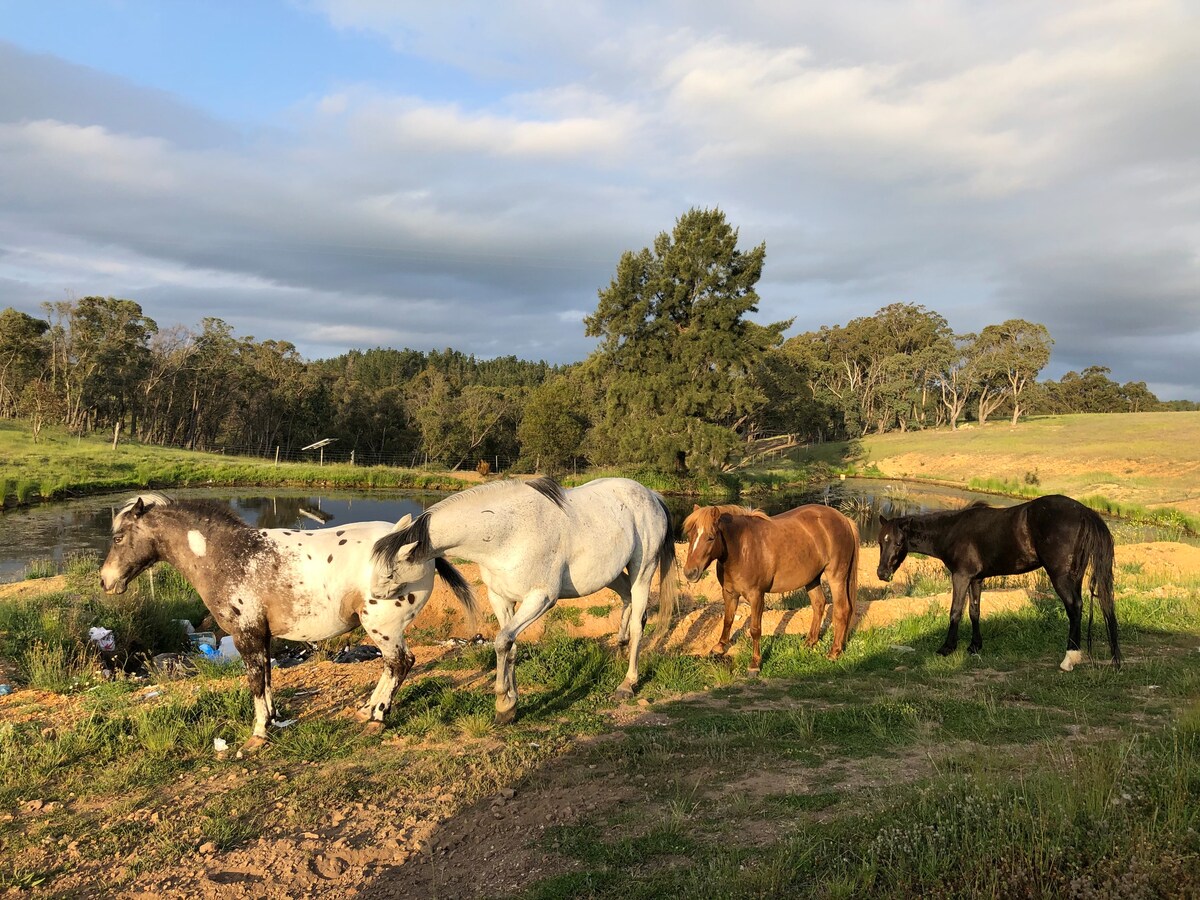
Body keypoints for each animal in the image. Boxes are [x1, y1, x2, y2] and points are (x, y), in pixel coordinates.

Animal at [98, 494, 475, 748]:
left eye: (118, 538)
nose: (105, 581)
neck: (229, 556)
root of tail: (421, 547)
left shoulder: (246, 635)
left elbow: (255, 682)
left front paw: (258, 734)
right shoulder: (262, 637)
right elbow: (266, 678)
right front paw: (273, 719)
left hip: (383, 628)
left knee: (400, 663)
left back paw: (378, 717)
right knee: (393, 666)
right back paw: (367, 710)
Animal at [369, 480, 681, 724]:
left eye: (389, 571)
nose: (373, 596)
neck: (507, 533)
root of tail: (652, 494)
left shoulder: (540, 599)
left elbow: (501, 642)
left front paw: (502, 702)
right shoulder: (501, 599)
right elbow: (510, 645)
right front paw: (510, 705)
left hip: (643, 570)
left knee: (640, 621)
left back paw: (628, 683)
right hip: (611, 575)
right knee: (627, 600)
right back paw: (620, 646)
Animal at [681, 504, 859, 672]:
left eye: (710, 538)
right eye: (690, 535)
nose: (690, 573)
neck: (741, 549)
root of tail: (844, 519)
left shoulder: (756, 596)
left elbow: (755, 629)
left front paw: (755, 663)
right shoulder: (729, 593)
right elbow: (728, 620)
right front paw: (719, 646)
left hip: (836, 577)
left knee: (841, 610)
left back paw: (834, 652)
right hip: (812, 578)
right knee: (819, 604)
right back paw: (810, 642)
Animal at [878, 496, 1118, 672]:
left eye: (898, 543)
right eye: (881, 541)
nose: (882, 573)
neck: (953, 530)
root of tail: (1084, 511)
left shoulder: (961, 576)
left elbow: (955, 611)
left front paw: (947, 647)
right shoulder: (976, 578)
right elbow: (974, 611)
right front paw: (974, 646)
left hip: (1060, 577)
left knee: (1074, 608)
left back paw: (1069, 659)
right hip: (1075, 576)